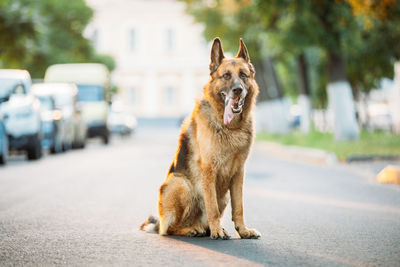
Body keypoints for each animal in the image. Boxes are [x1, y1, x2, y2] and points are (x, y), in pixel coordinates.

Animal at [140, 37, 260, 241]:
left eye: (244, 75)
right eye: (226, 76)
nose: (237, 90)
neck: (230, 127)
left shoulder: (238, 173)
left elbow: (239, 207)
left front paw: (243, 231)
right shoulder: (208, 170)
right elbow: (211, 206)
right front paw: (217, 230)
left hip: (223, 196)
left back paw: (207, 229)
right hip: (181, 184)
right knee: (169, 229)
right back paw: (193, 230)